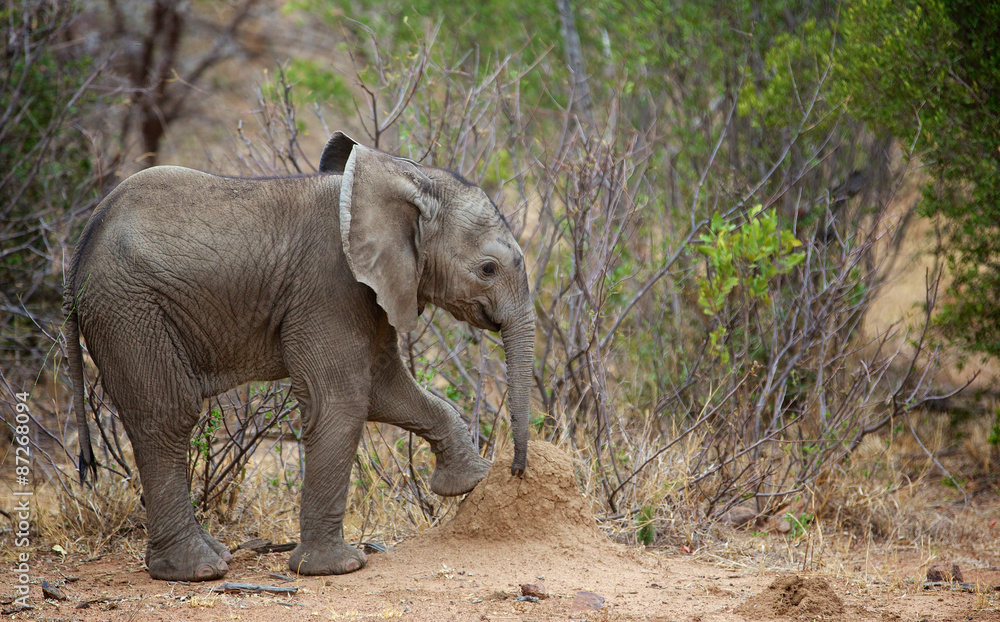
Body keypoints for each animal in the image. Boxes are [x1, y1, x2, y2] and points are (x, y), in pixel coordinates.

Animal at [63, 131, 535, 582]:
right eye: (488, 268)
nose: (516, 472)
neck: (393, 184)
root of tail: (79, 250)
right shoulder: (330, 286)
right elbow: (340, 401)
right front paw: (335, 568)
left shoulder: (375, 286)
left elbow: (385, 391)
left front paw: (470, 481)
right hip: (129, 310)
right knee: (167, 417)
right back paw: (196, 571)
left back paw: (213, 557)